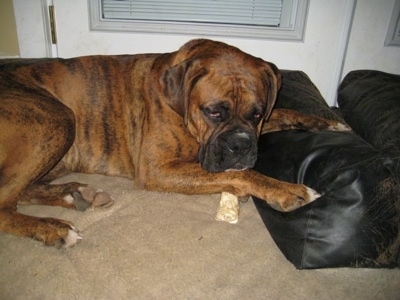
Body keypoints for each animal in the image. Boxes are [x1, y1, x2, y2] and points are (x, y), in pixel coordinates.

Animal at [0, 39, 348, 246]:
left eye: (258, 113)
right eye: (214, 112)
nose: (241, 145)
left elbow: (284, 111)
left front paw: (328, 121)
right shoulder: (158, 170)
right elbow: (242, 174)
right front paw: (287, 191)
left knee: (22, 190)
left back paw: (77, 195)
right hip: (56, 120)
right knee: (6, 202)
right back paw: (54, 228)